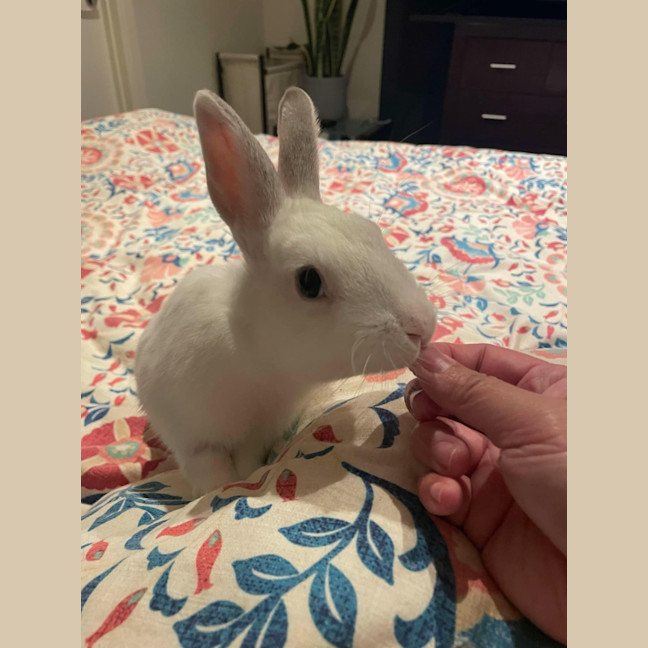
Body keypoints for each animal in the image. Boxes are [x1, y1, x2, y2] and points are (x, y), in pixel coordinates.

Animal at [134, 87, 437, 498]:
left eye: (372, 231)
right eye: (309, 282)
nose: (423, 326)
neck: (258, 359)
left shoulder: (259, 434)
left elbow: (249, 461)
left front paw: (247, 478)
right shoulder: (194, 439)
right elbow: (210, 472)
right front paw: (219, 492)